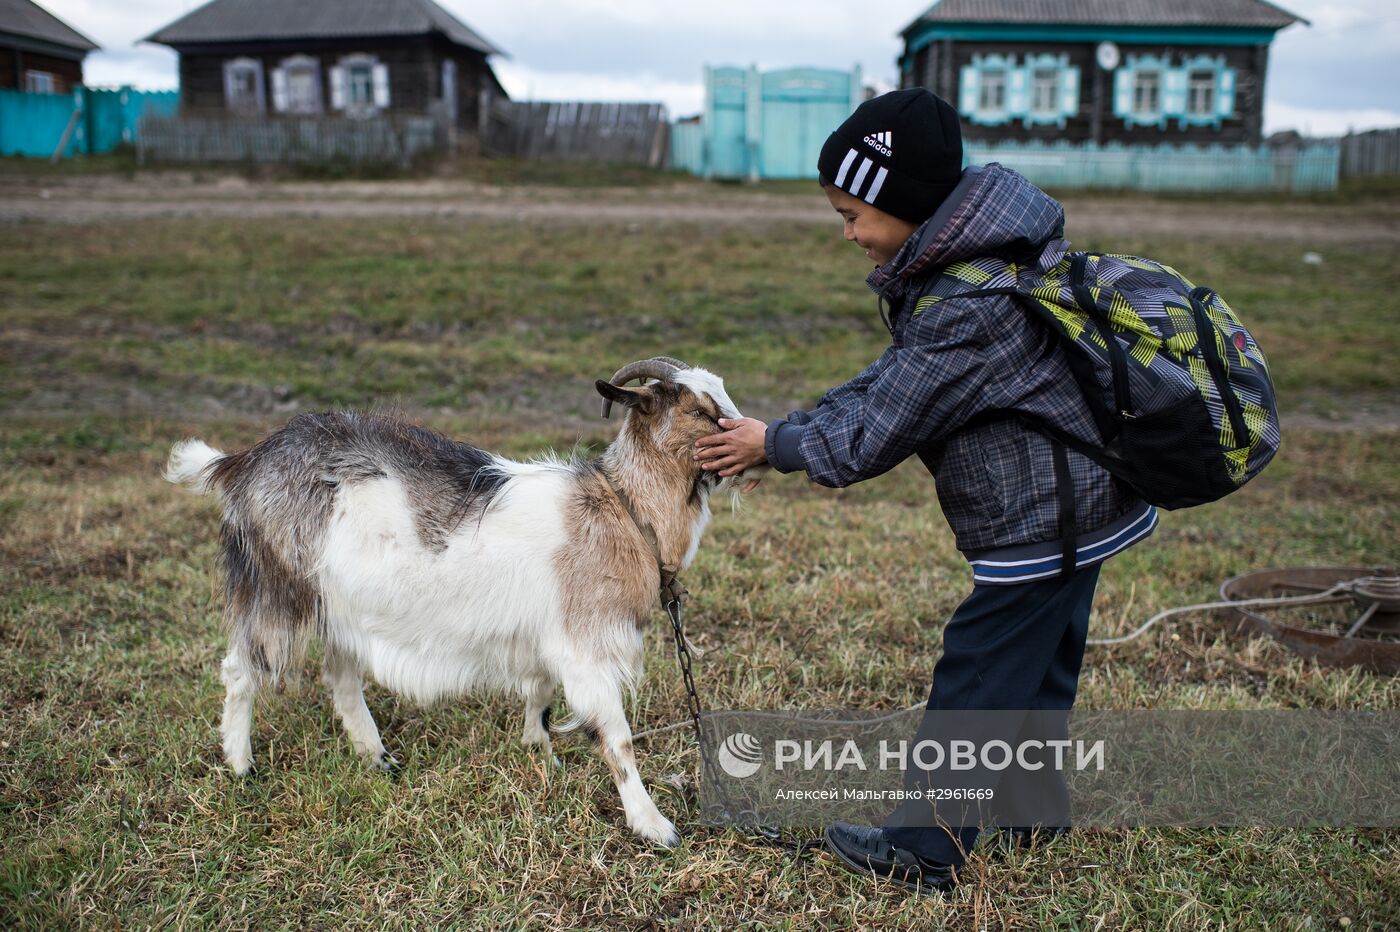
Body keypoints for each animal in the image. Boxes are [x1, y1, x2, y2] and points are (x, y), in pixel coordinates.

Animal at [168, 355, 761, 839]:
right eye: (700, 409)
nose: (756, 452)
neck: (623, 508)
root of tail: (239, 463)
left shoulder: (545, 633)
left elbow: (540, 692)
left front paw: (540, 753)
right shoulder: (586, 645)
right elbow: (617, 739)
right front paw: (654, 826)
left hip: (342, 607)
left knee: (340, 678)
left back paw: (377, 757)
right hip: (278, 589)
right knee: (241, 670)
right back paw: (242, 766)